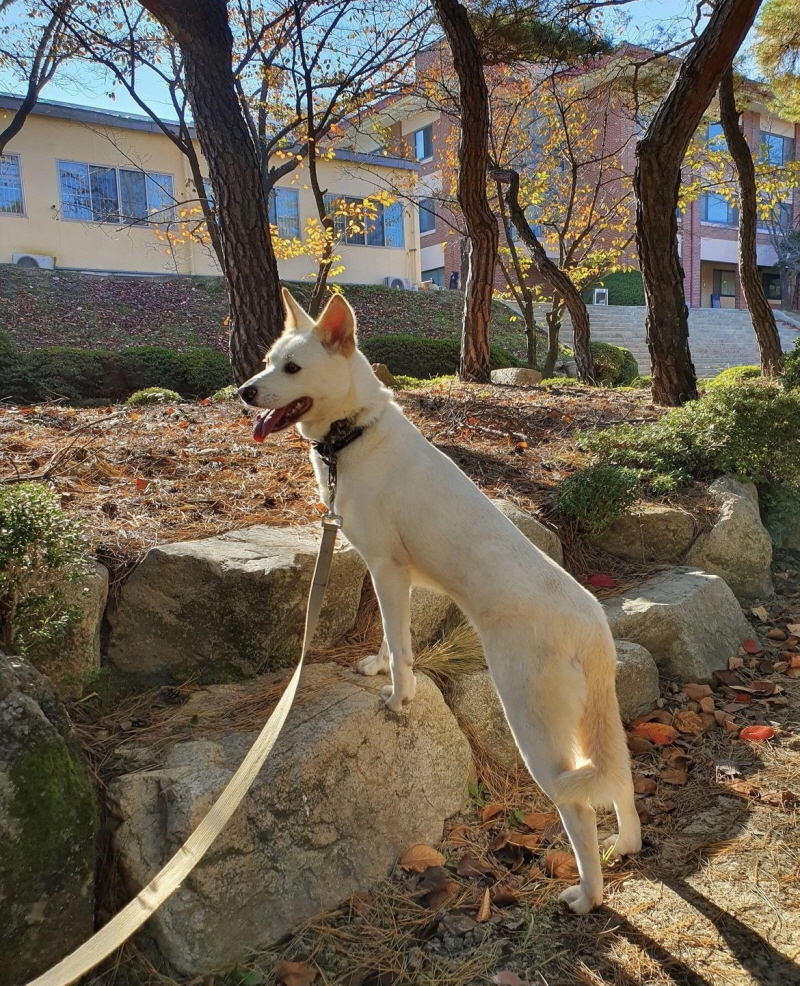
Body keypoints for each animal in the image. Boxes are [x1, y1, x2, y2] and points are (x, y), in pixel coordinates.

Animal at [239, 288, 641, 913]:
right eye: (266, 361)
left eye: (293, 369)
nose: (244, 393)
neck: (355, 433)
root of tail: (591, 626)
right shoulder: (397, 577)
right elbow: (392, 636)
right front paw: (379, 666)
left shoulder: (386, 568)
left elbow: (400, 646)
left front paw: (397, 698)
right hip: (592, 721)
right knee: (621, 782)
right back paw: (628, 846)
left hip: (536, 730)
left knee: (577, 806)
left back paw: (588, 895)